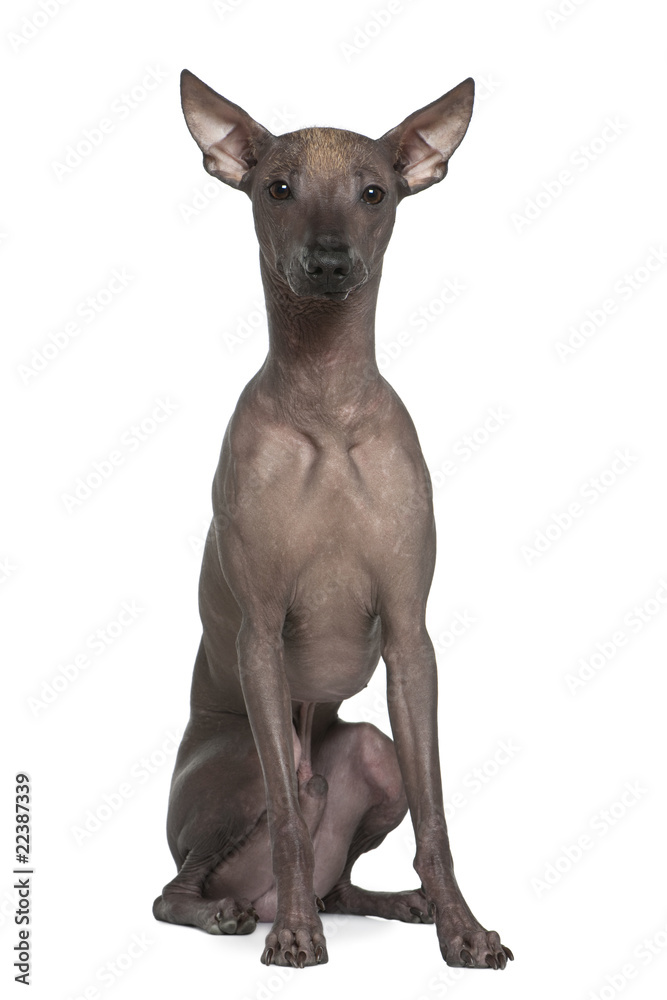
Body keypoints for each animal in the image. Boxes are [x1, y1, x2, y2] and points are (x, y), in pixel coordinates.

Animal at [154, 68, 516, 968]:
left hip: (372, 751)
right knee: (188, 879)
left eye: (374, 192)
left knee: (340, 876)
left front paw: (462, 928)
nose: (328, 260)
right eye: (277, 189)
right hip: (248, 758)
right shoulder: (257, 636)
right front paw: (292, 936)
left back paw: (392, 903)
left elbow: (435, 816)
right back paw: (240, 913)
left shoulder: (411, 638)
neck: (325, 402)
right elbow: (288, 818)